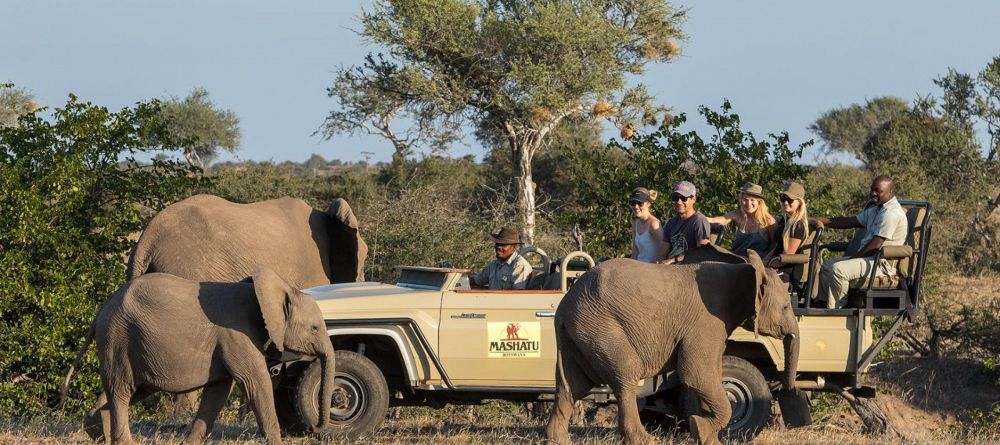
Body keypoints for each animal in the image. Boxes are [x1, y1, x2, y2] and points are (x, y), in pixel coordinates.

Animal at [89, 268, 334, 444]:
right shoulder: (237, 335)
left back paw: (97, 432)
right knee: (122, 391)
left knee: (130, 390)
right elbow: (255, 383)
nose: (312, 428)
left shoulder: (227, 344)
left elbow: (218, 392)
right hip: (117, 339)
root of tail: (102, 308)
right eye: (314, 328)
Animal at [544, 250, 800, 444]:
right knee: (625, 376)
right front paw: (700, 427)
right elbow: (695, 373)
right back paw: (646, 440)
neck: (745, 269)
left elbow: (708, 375)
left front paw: (705, 434)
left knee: (570, 386)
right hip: (601, 328)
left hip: (578, 334)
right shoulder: (706, 320)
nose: (789, 393)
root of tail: (565, 305)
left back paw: (556, 440)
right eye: (786, 306)